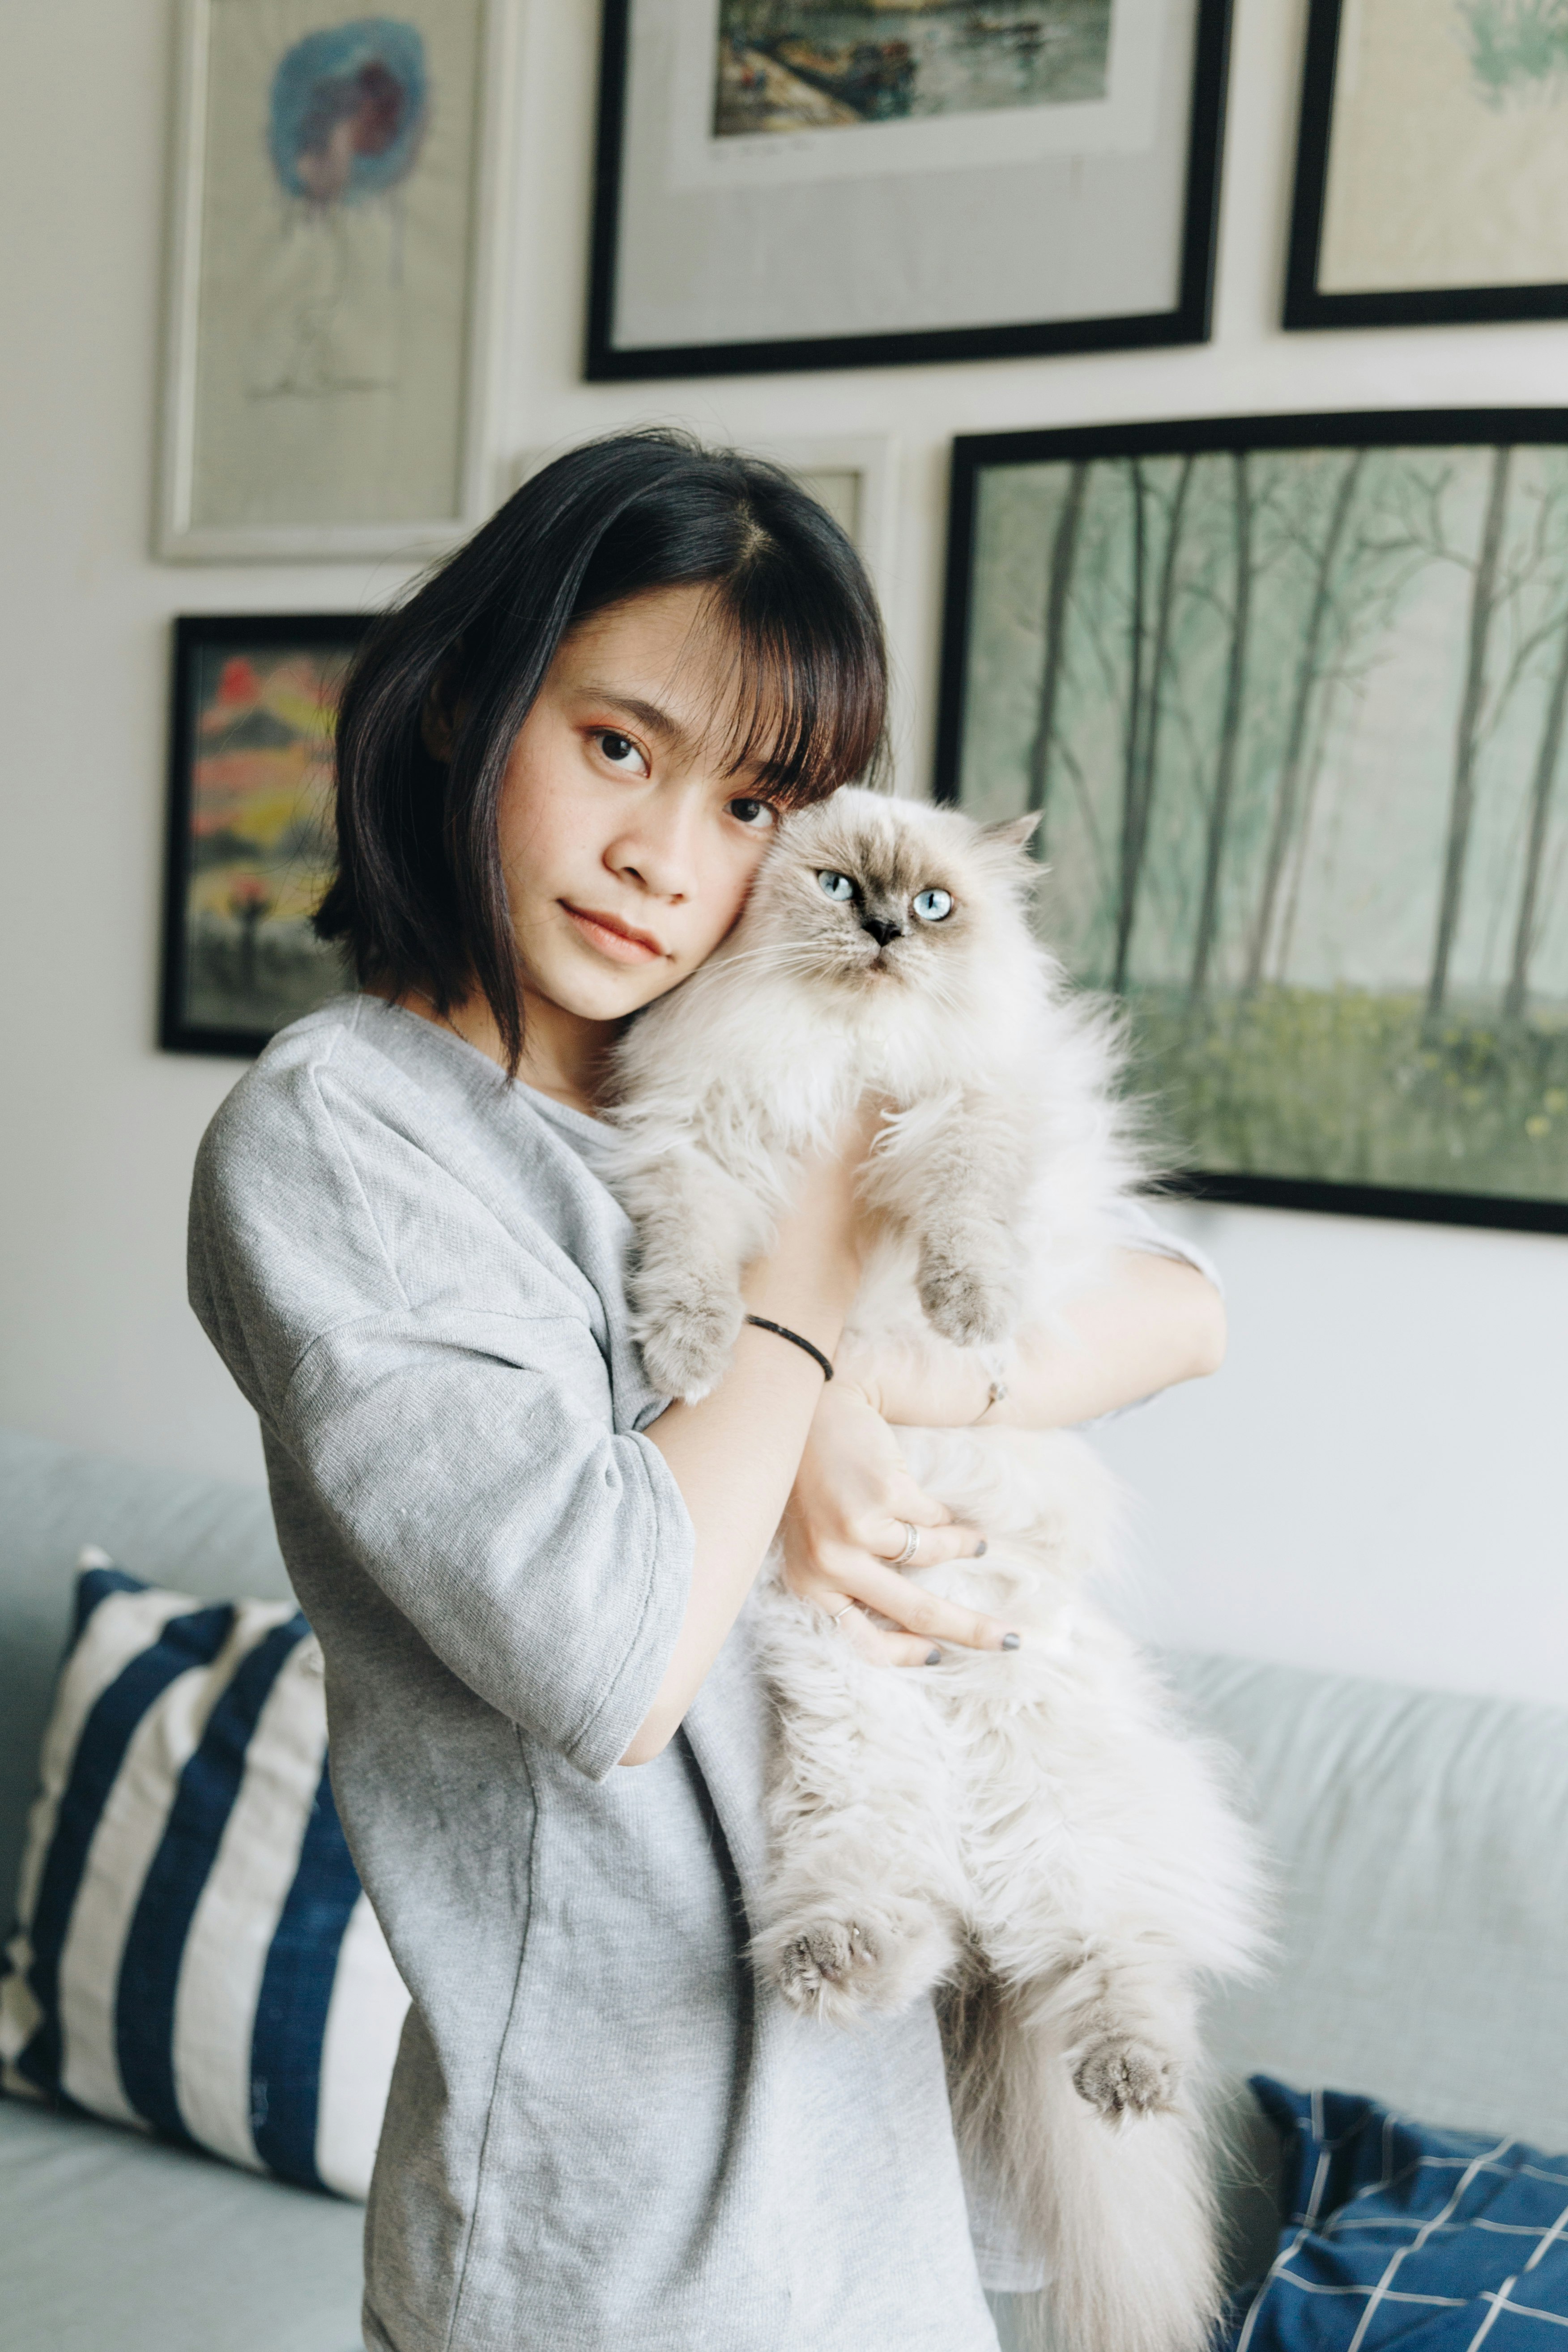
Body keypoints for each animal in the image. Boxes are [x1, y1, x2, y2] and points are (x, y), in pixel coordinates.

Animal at [606, 790, 1269, 2352]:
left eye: (933, 909)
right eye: (838, 886)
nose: (878, 938)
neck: (840, 1057)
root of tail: (982, 1834)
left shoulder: (971, 1120)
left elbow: (967, 1213)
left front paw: (969, 1313)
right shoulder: (697, 1146)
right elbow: (695, 1269)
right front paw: (689, 1353)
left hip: (1074, 1835)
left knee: (1113, 1971)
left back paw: (1125, 2076)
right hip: (858, 1757)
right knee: (901, 1930)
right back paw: (840, 1961)